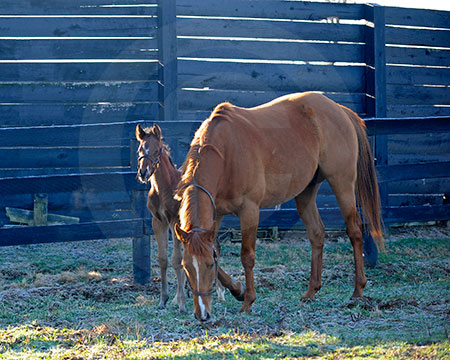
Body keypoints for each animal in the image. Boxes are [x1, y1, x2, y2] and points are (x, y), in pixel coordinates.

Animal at [136, 124, 187, 312]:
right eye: (140, 150)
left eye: (157, 150)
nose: (143, 173)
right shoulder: (158, 222)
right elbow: (163, 259)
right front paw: (164, 299)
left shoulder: (174, 221)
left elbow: (177, 260)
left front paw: (181, 303)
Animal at [172, 90, 384, 320]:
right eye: (186, 267)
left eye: (209, 266)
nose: (202, 314)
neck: (226, 153)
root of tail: (340, 110)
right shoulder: (215, 215)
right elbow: (217, 252)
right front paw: (237, 290)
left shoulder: (249, 211)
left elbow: (247, 257)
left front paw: (247, 301)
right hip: (305, 192)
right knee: (317, 234)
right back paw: (311, 291)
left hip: (342, 183)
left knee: (354, 231)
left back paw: (357, 290)